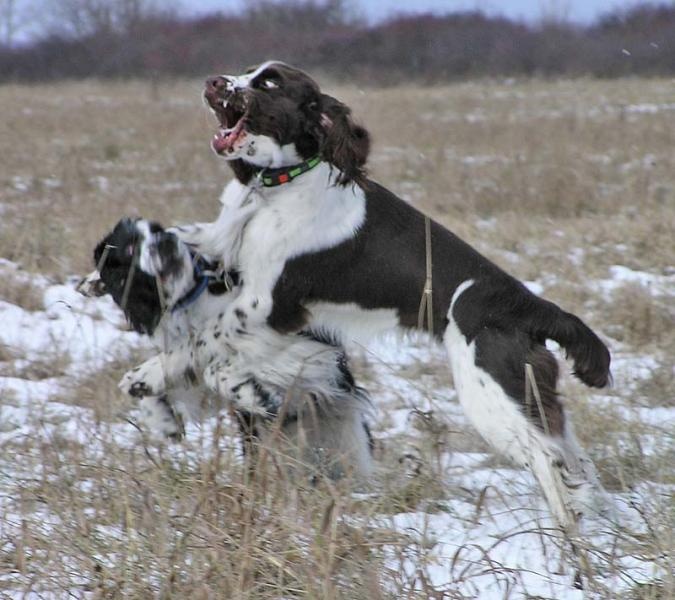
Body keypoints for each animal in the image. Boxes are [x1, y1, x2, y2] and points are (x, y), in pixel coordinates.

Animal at [81, 218, 374, 480]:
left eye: (158, 230)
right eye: (130, 248)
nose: (166, 240)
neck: (192, 300)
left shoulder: (303, 344)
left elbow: (217, 365)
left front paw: (260, 397)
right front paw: (163, 420)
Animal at [125, 61, 612, 528]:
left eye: (269, 82)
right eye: (245, 71)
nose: (213, 82)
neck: (278, 188)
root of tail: (534, 308)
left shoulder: (266, 303)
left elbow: (204, 342)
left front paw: (147, 375)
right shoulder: (227, 250)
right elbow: (188, 241)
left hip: (490, 391)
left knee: (547, 459)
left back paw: (564, 540)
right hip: (527, 393)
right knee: (572, 456)